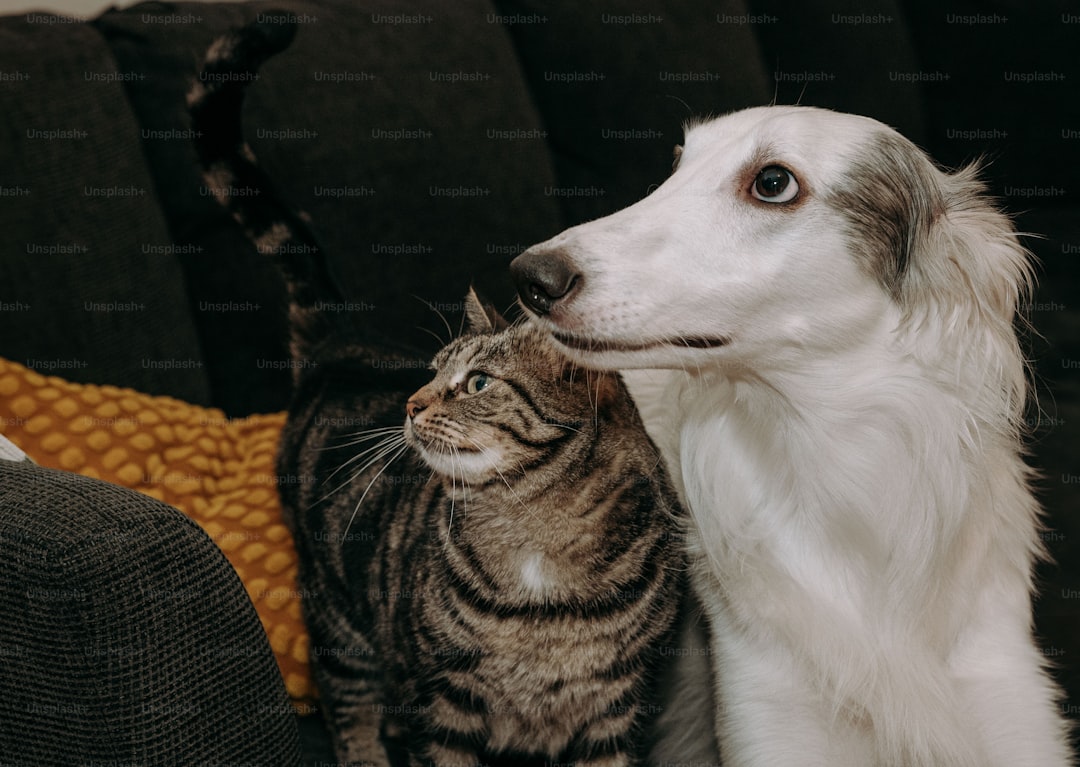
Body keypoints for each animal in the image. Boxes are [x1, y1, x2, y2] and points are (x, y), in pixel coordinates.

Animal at [190, 18, 686, 767]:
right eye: (431, 370)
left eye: (476, 381)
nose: (412, 404)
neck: (536, 555)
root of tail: (344, 347)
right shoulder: (443, 700)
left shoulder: (615, 710)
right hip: (337, 619)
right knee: (351, 706)